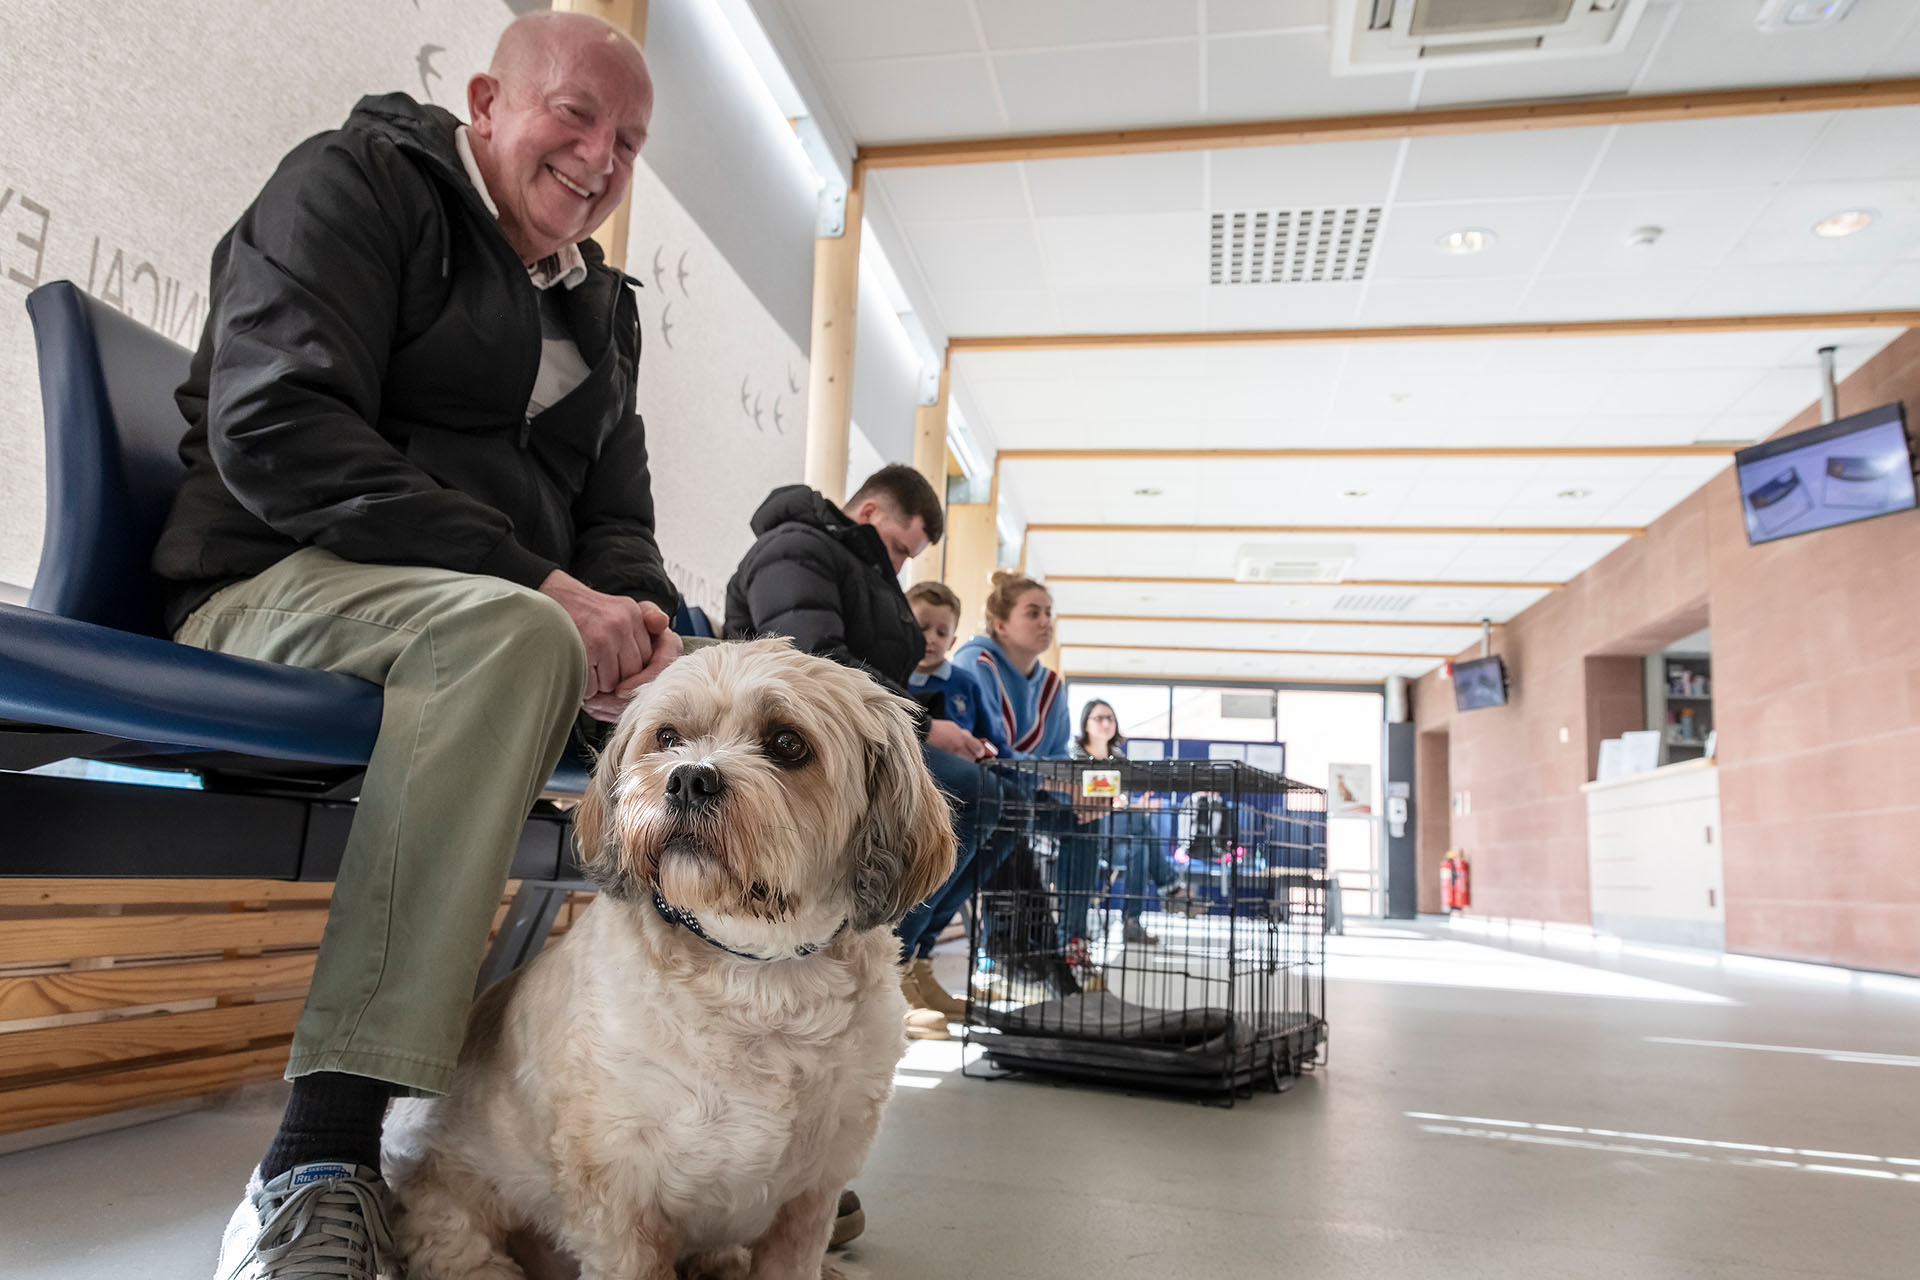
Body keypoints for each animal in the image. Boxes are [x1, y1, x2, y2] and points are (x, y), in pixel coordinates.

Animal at [385, 640, 956, 1280]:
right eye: (667, 738)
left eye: (788, 743)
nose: (689, 777)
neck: (757, 970)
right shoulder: (619, 1195)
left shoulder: (809, 1200)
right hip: (456, 1215)